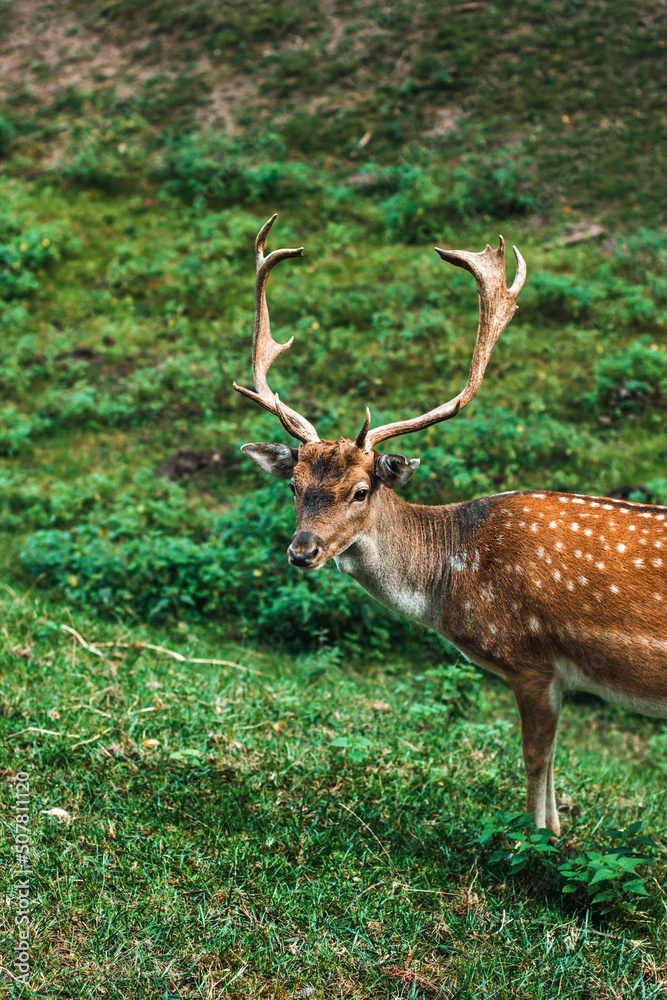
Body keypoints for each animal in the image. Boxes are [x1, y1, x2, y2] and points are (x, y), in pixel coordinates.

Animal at [234, 215, 667, 837]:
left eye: (361, 490)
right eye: (293, 485)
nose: (301, 551)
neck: (454, 581)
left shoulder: (530, 659)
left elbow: (535, 760)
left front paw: (532, 846)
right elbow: (553, 769)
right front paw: (557, 837)